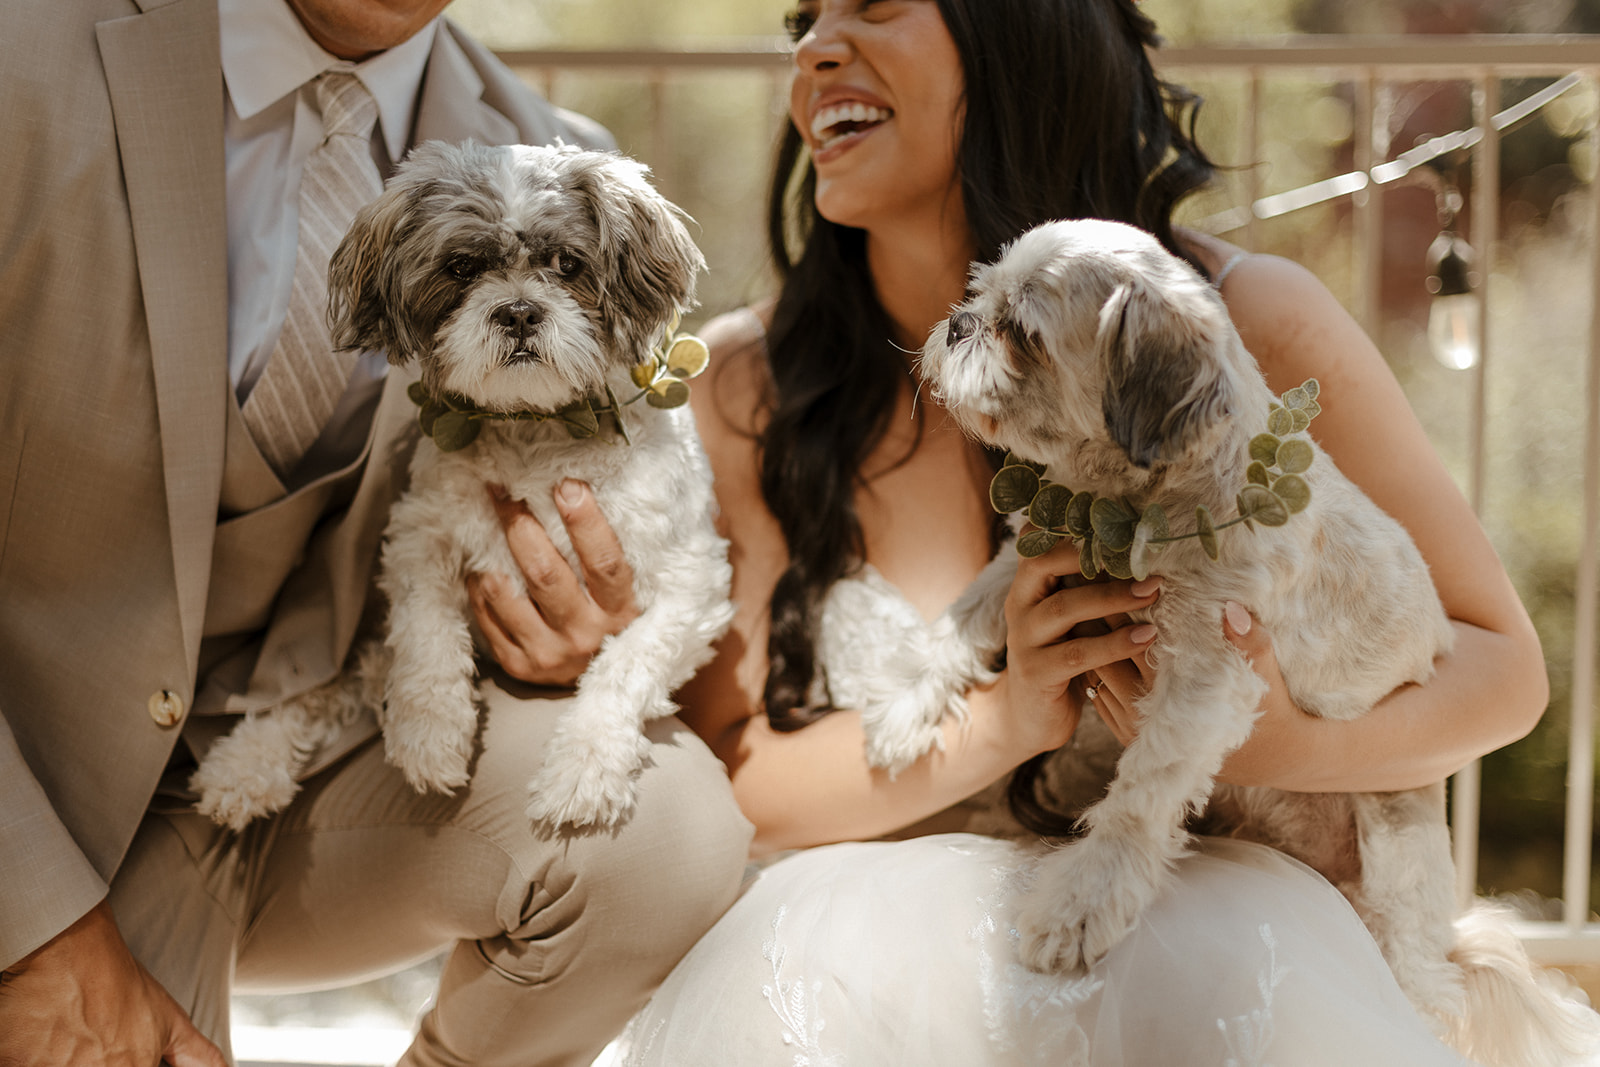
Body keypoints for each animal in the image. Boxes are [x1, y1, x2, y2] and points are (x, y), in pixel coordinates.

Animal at [187, 137, 732, 831]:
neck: (536, 430)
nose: (519, 310)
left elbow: (624, 666)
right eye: (462, 268)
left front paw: (583, 767)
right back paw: (247, 762)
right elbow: (426, 639)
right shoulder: (421, 539)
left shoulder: (689, 584)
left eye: (567, 263)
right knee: (343, 681)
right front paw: (431, 733)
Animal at [864, 219, 1600, 1067]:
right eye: (979, 293)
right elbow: (964, 619)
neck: (1133, 503)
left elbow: (1141, 795)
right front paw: (903, 705)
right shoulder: (1030, 558)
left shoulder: (1207, 673)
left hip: (1393, 870)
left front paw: (1080, 902)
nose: (958, 323)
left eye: (1021, 332)